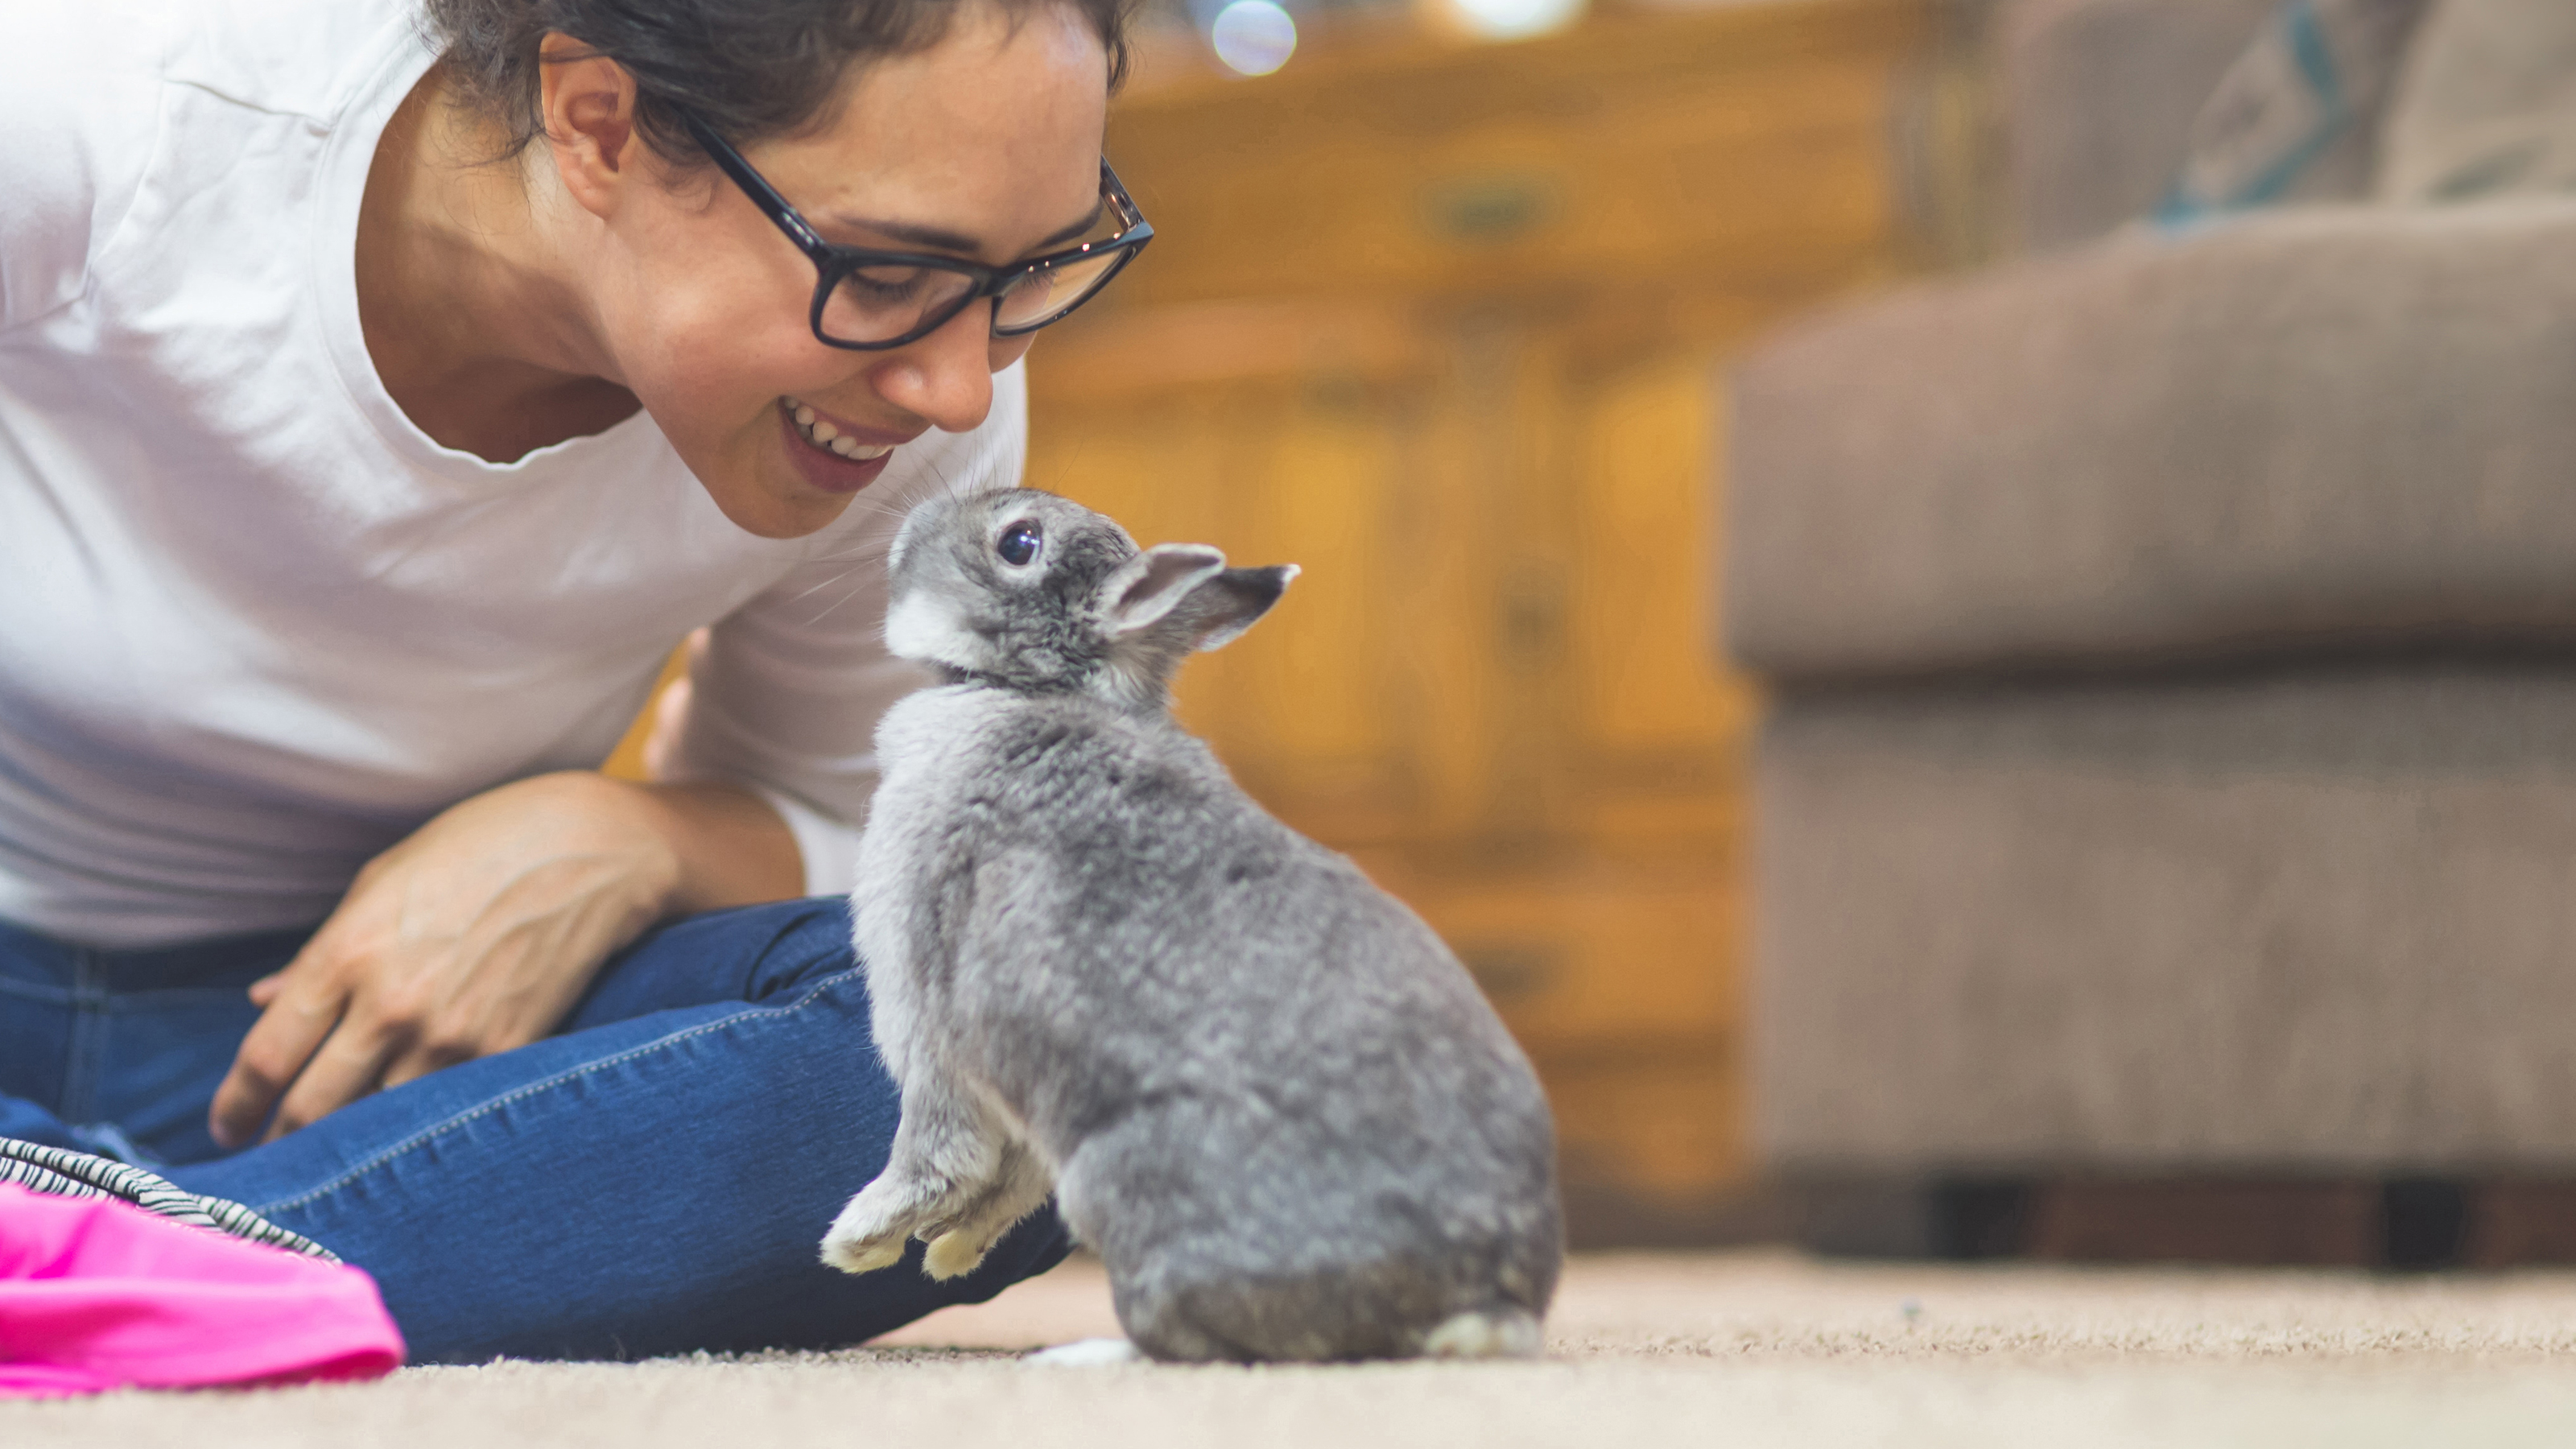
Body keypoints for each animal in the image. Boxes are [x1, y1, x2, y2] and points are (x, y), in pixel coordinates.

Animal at [814, 485, 1555, 1351]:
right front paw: (953, 1252)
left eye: (1020, 542)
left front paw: (859, 1244)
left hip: (1118, 1184)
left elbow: (942, 1149)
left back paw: (1086, 1355)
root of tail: (1481, 1303)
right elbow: (1015, 1175)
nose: (919, 510)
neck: (1034, 688)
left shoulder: (924, 1003)